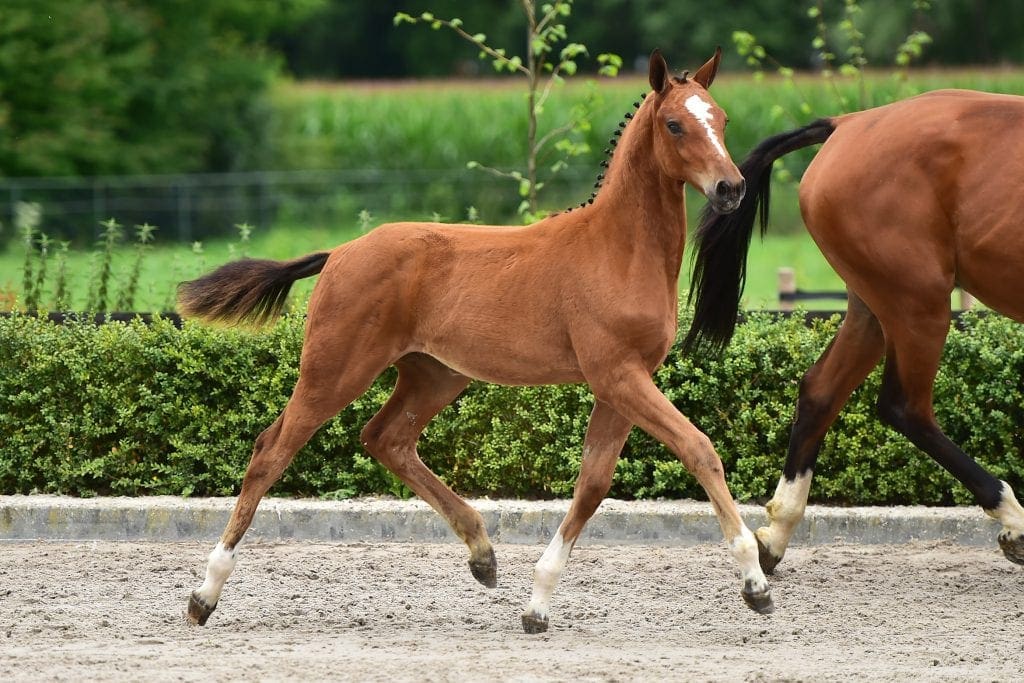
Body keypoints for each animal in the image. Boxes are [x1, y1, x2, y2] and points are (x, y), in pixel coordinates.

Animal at [178, 49, 773, 634]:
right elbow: (698, 449)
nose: (731, 188)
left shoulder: (623, 381)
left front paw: (537, 605)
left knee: (386, 439)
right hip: (336, 370)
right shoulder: (617, 374)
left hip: (435, 374)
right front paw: (755, 582)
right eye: (674, 124)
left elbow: (593, 484)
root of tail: (340, 252)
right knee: (270, 452)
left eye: (721, 120)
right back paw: (204, 595)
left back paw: (483, 555)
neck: (619, 249)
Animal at [685, 89, 1024, 576]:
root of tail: (847, 123)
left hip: (875, 306)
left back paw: (774, 536)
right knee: (905, 408)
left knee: (819, 392)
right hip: (918, 302)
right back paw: (1016, 521)